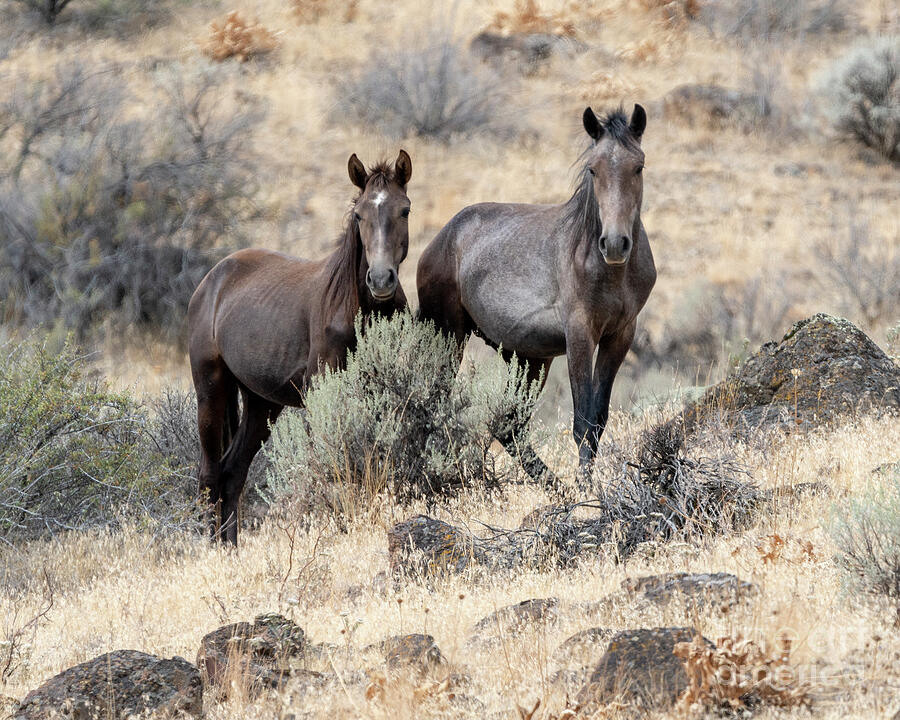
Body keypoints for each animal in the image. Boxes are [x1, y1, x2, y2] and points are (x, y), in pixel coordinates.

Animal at [192, 152, 416, 544]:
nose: (380, 280)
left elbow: (372, 458)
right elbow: (333, 461)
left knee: (233, 473)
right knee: (210, 475)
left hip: (261, 404)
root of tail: (211, 281)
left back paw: (230, 548)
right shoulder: (322, 394)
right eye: (359, 215)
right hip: (211, 390)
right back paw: (210, 548)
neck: (355, 307)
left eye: (404, 210)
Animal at [414, 105, 652, 490]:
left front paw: (584, 485)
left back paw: (552, 485)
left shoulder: (620, 336)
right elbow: (582, 422)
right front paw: (586, 490)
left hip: (529, 359)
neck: (608, 271)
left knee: (508, 425)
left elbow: (598, 420)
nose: (615, 244)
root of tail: (440, 240)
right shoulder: (579, 335)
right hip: (448, 337)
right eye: (593, 169)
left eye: (638, 166)